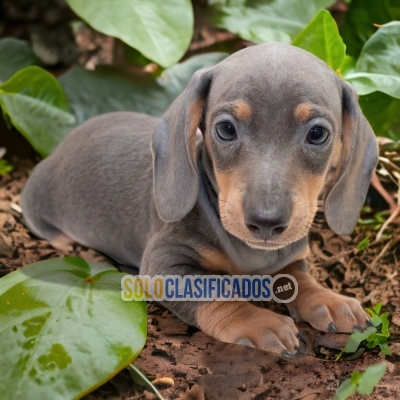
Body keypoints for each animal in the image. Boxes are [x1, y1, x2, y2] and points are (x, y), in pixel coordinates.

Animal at [21, 43, 378, 356]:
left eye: (318, 134)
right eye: (226, 129)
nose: (266, 222)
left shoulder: (289, 255)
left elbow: (300, 278)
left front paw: (328, 300)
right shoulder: (164, 265)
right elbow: (216, 291)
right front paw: (260, 322)